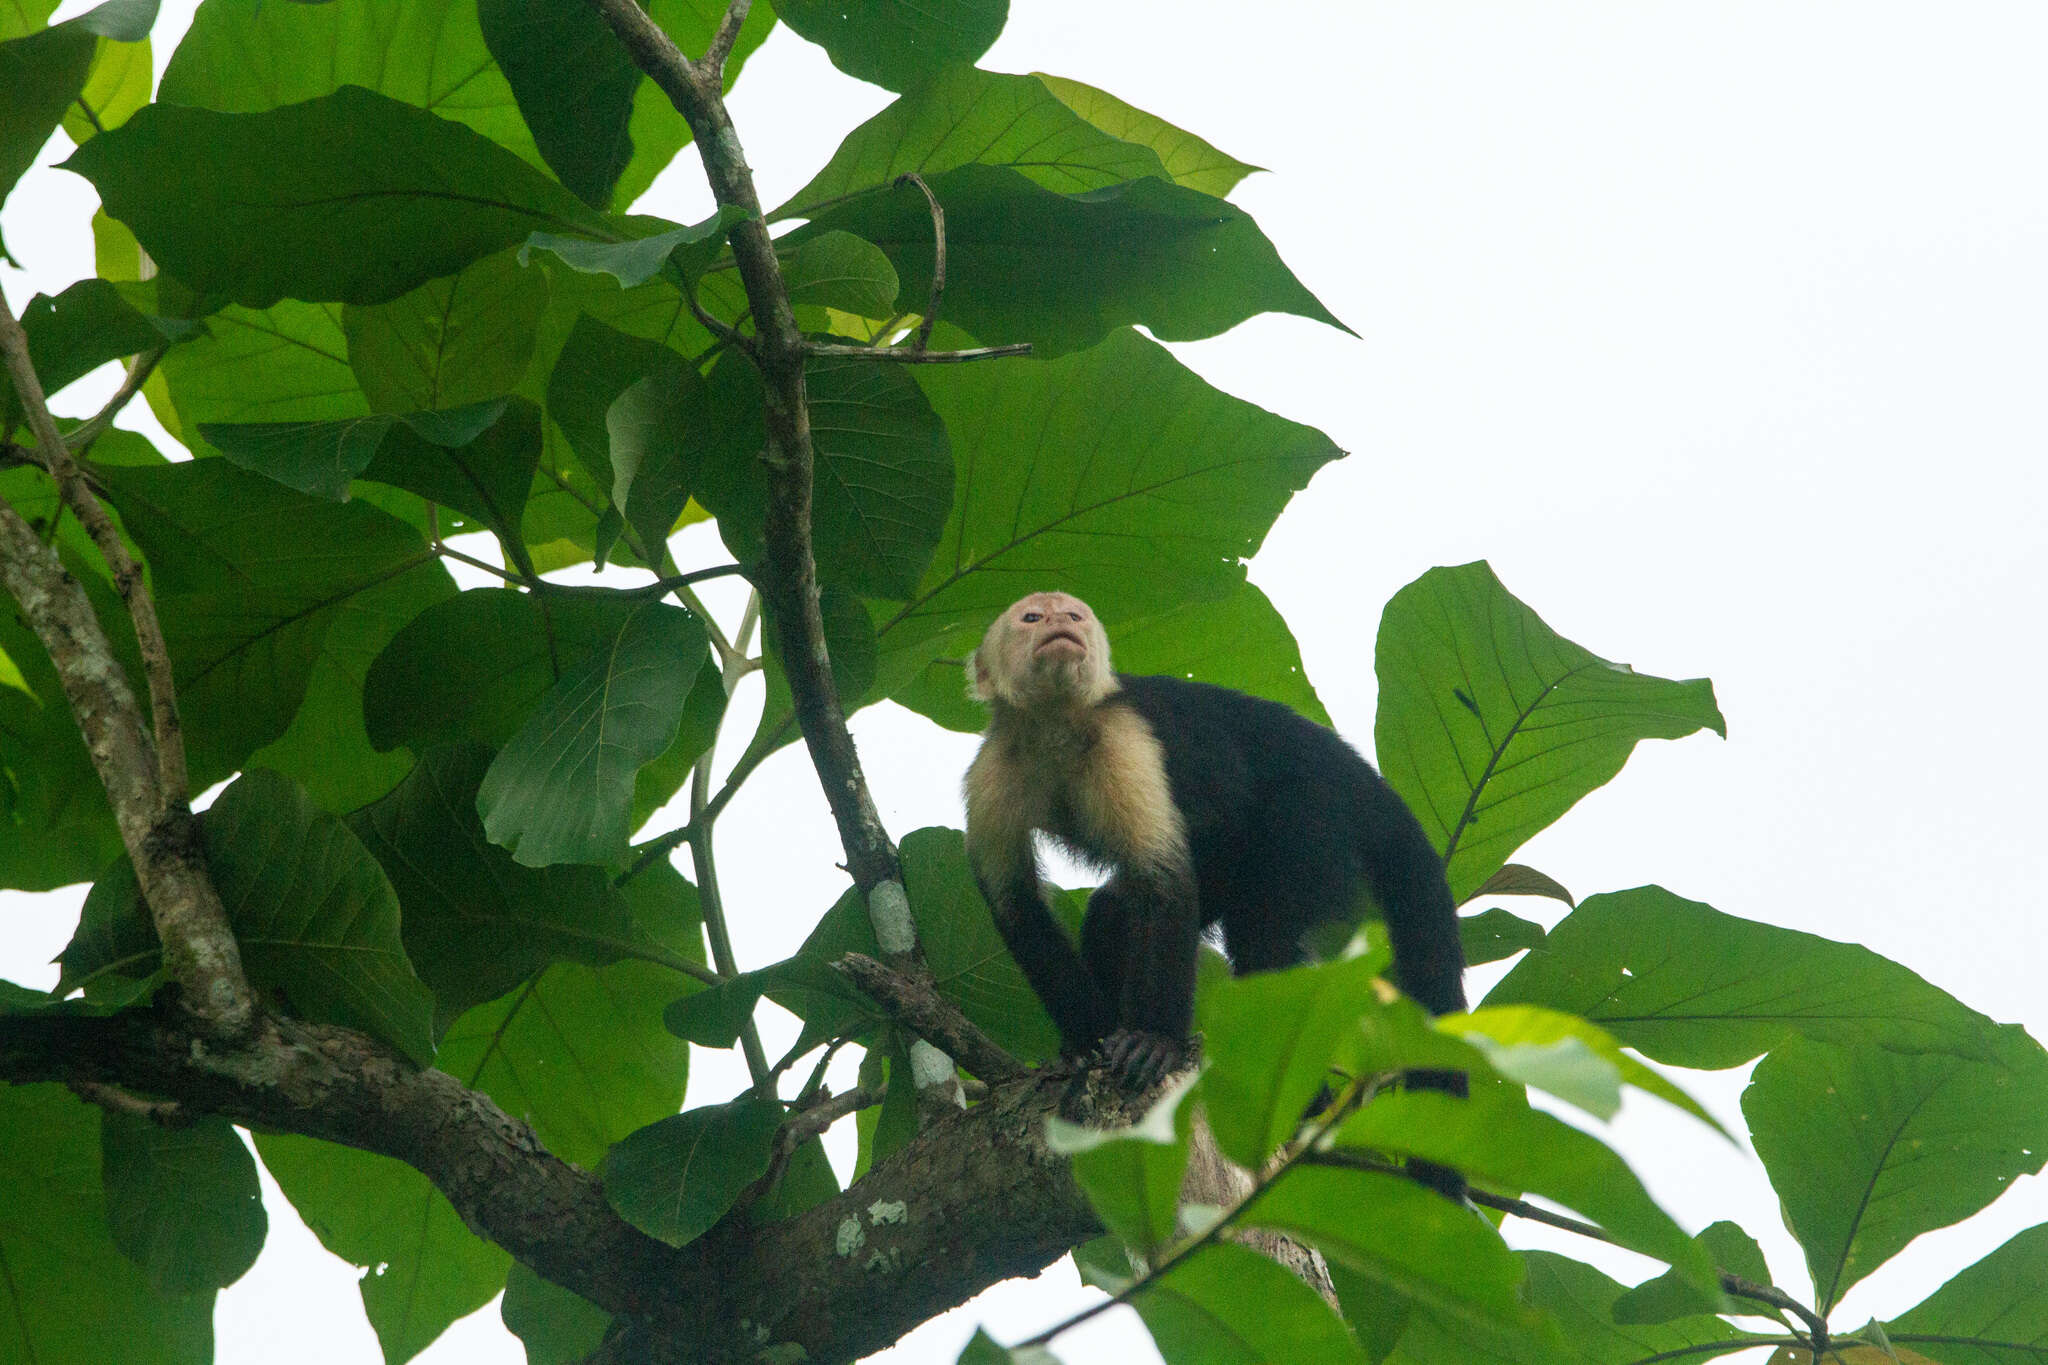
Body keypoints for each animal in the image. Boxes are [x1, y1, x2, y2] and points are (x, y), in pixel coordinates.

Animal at [966, 593, 1466, 1186]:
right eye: (1032, 619)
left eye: (1075, 615)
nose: (1063, 623)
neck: (1055, 724)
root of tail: (1351, 772)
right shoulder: (992, 772)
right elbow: (1018, 909)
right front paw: (1086, 1039)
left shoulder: (1124, 742)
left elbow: (1166, 880)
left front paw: (1154, 1041)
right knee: (1116, 912)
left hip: (1312, 819)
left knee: (1261, 934)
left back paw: (1306, 1104)